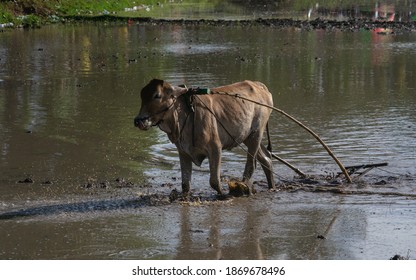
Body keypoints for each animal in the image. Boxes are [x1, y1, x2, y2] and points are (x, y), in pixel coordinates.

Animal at [134, 79, 276, 195]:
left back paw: (243, 188)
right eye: (141, 95)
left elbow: (214, 182)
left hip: (256, 134)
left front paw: (223, 195)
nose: (138, 120)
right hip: (248, 136)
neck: (185, 113)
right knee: (266, 159)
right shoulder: (183, 152)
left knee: (251, 165)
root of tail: (259, 85)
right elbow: (185, 184)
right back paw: (271, 187)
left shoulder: (215, 148)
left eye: (157, 95)